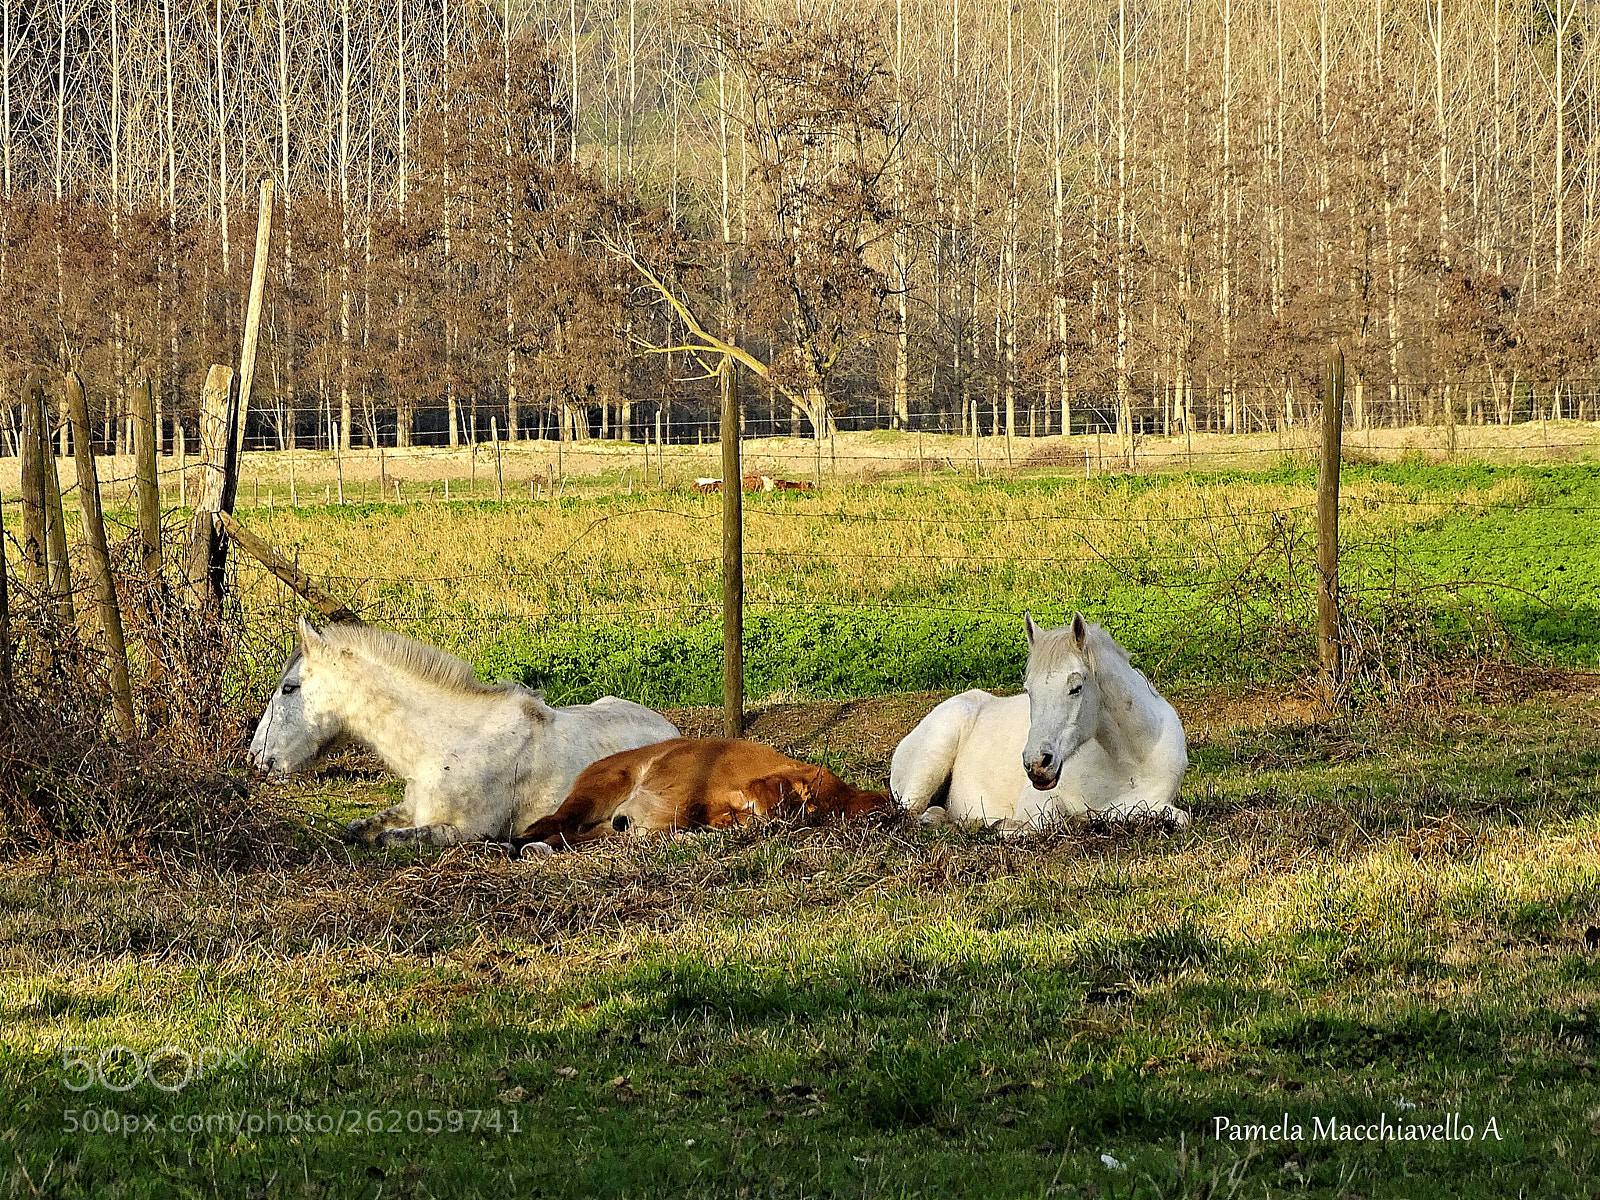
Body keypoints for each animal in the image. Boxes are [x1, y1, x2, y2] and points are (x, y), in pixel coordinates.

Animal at [249, 619, 680, 847]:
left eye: (289, 688)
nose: (256, 758)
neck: (448, 745)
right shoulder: (409, 810)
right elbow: (359, 829)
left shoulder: (464, 832)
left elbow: (388, 838)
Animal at [889, 613, 1189, 830]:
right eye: (1029, 690)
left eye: (1076, 688)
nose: (1036, 764)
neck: (1131, 763)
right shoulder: (1035, 804)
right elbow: (1050, 820)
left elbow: (1176, 816)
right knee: (910, 814)